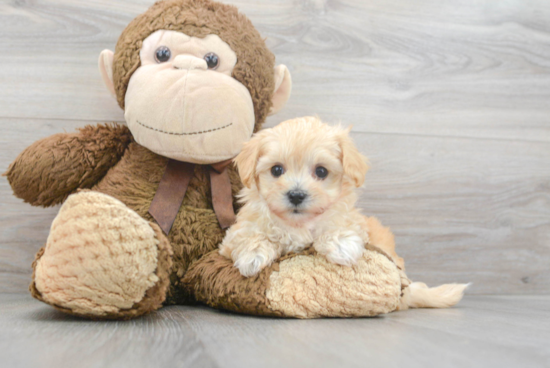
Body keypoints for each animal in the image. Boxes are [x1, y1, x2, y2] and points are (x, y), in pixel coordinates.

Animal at [222, 117, 378, 276]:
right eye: (276, 170)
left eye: (321, 171)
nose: (296, 196)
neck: (298, 223)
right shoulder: (233, 236)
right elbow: (249, 234)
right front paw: (252, 254)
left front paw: (341, 244)